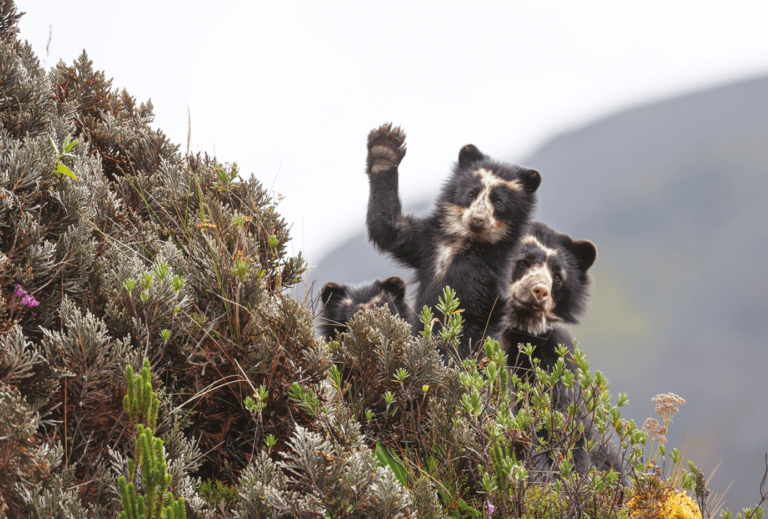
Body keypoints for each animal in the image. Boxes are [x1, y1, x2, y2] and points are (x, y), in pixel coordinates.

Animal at [364, 124, 540, 360]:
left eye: (499, 202)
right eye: (471, 194)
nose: (478, 219)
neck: (463, 242)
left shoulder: (485, 276)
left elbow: (469, 321)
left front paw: (451, 356)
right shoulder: (426, 242)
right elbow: (388, 229)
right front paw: (385, 147)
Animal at [498, 223, 624, 484]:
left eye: (557, 276)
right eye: (522, 262)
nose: (540, 291)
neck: (520, 331)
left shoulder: (554, 356)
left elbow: (561, 420)